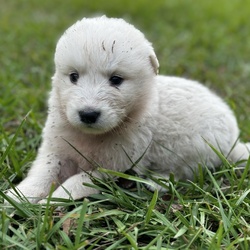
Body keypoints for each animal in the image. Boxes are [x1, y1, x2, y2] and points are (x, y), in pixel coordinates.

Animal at [5, 15, 250, 203]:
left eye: (116, 80)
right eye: (73, 76)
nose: (88, 114)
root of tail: (235, 140)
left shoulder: (115, 166)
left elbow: (76, 182)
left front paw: (54, 200)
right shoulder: (56, 148)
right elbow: (43, 173)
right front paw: (18, 197)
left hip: (199, 152)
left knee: (182, 173)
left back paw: (155, 183)